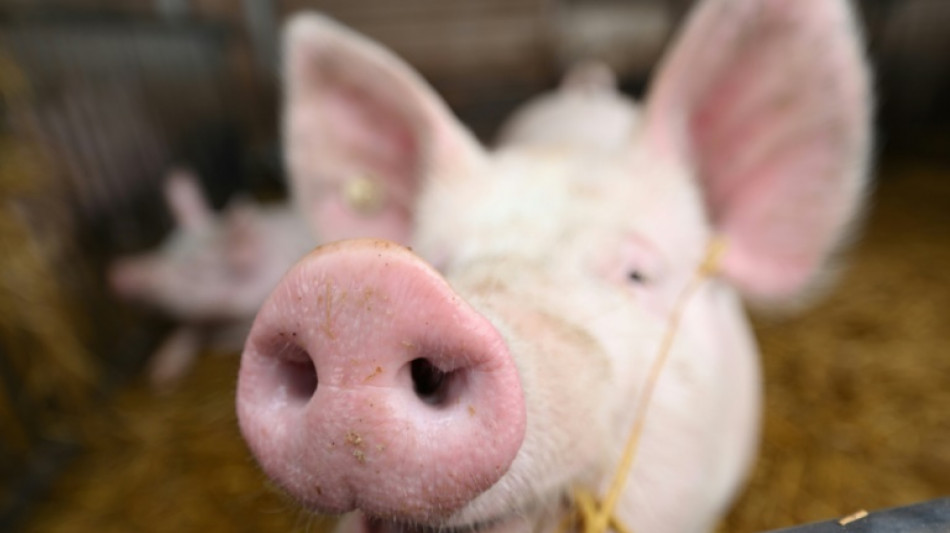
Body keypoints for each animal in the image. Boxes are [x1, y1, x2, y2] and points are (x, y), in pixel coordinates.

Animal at [109, 169, 314, 388]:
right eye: (164, 250)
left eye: (193, 272)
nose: (117, 271)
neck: (227, 321)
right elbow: (189, 328)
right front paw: (159, 377)